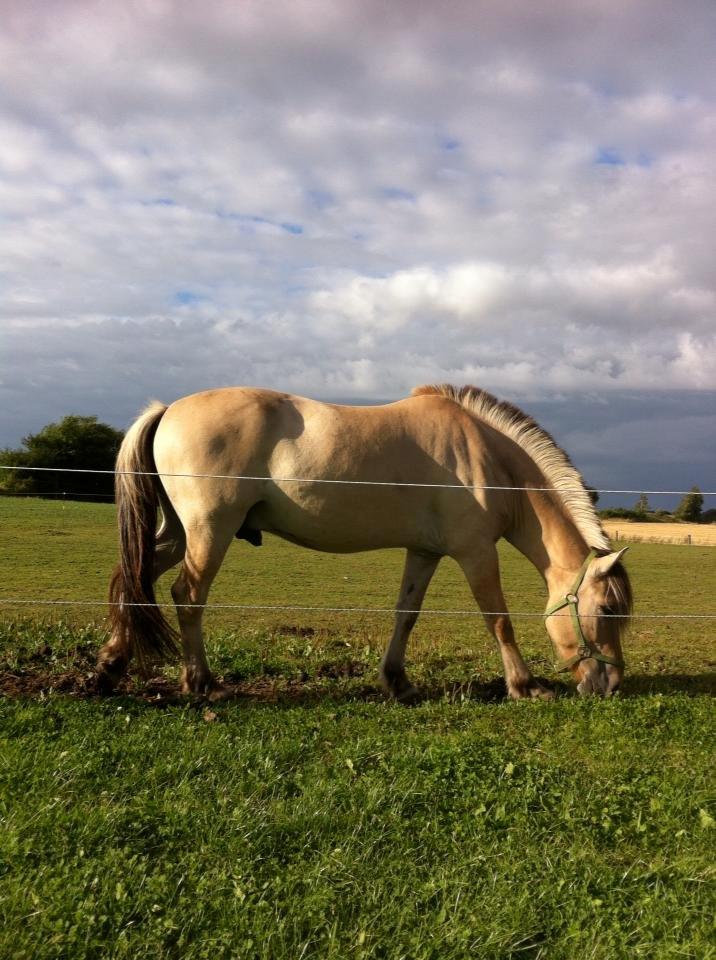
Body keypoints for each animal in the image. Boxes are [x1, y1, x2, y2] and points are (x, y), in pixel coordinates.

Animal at [95, 384, 632, 700]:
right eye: (607, 610)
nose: (609, 684)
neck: (488, 460)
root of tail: (168, 410)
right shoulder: (476, 552)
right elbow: (497, 619)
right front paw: (524, 685)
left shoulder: (425, 552)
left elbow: (406, 614)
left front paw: (395, 680)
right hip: (210, 532)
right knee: (187, 597)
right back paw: (202, 682)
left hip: (179, 534)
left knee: (133, 578)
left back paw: (109, 665)